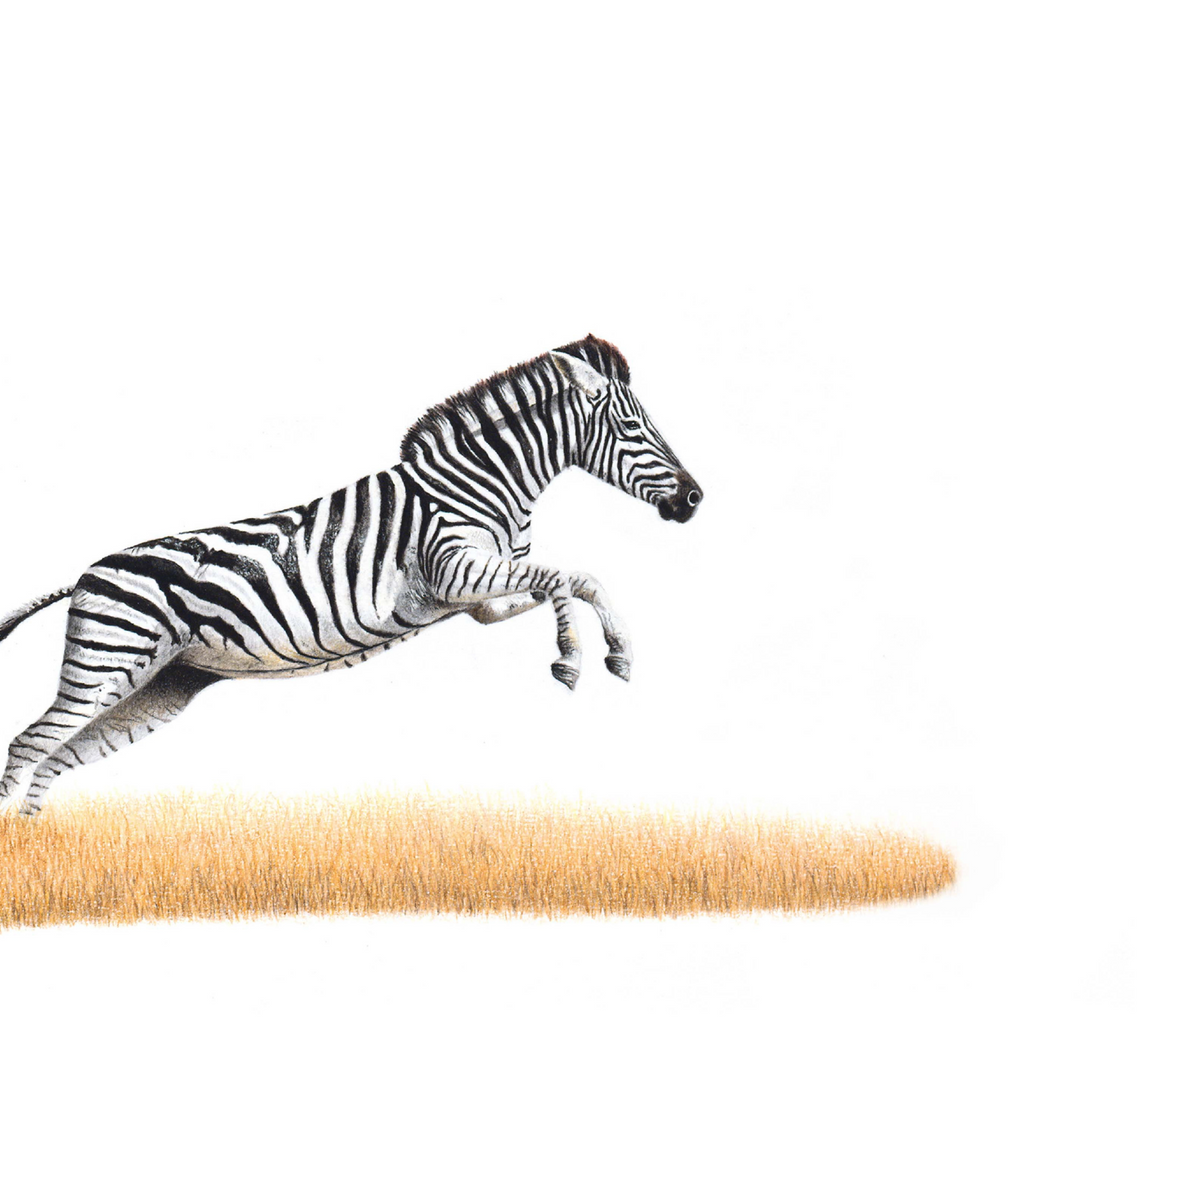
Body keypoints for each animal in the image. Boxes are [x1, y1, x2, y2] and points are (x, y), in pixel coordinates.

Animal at [0, 335, 702, 816]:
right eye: (633, 427)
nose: (695, 500)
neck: (480, 484)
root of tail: (86, 574)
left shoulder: (480, 599)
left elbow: (572, 579)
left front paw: (611, 654)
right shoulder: (455, 569)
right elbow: (570, 575)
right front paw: (576, 658)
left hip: (156, 684)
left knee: (56, 759)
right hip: (106, 661)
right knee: (29, 746)